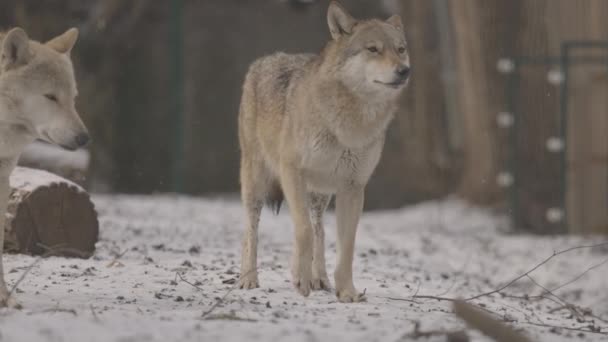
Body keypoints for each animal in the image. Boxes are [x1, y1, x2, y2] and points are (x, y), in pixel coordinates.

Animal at [238, 2, 408, 302]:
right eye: (373, 49)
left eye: (400, 49)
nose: (405, 70)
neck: (350, 123)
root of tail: (264, 60)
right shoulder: (292, 171)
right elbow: (302, 231)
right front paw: (301, 280)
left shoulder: (353, 187)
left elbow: (346, 245)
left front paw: (347, 292)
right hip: (257, 185)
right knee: (252, 230)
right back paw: (249, 278)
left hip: (320, 195)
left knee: (319, 229)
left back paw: (319, 278)